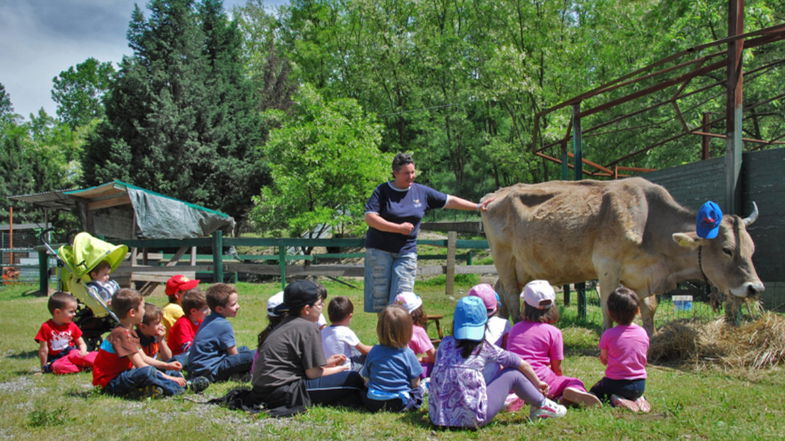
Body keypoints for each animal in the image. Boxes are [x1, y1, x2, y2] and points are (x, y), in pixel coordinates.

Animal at [480, 176, 764, 334]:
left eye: (752, 249)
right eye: (727, 250)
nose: (755, 288)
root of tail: (495, 195)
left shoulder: (642, 276)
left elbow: (649, 308)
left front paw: (652, 337)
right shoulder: (607, 266)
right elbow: (607, 304)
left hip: (521, 267)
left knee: (503, 291)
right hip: (503, 257)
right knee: (512, 296)